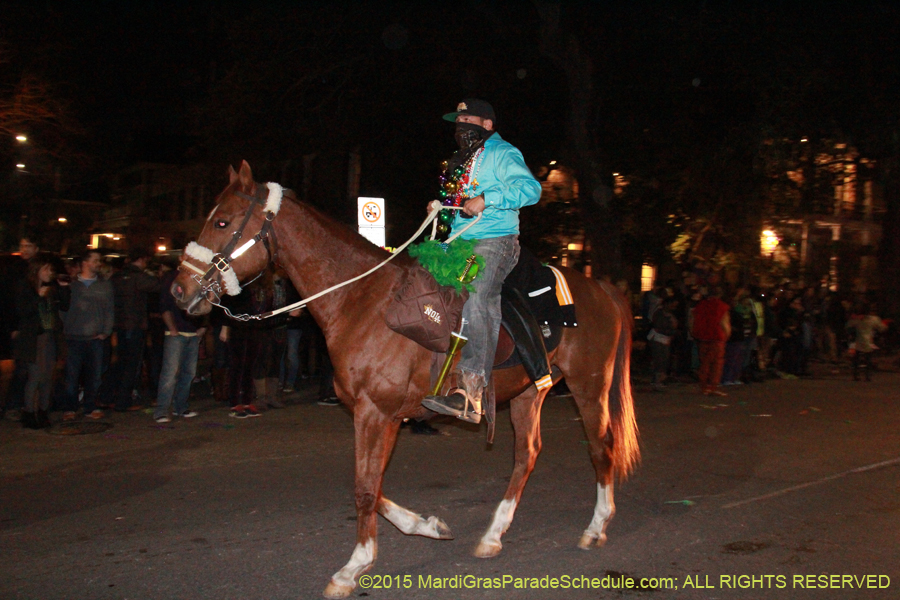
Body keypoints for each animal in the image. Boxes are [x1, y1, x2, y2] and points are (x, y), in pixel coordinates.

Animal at [172, 161, 636, 600]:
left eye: (222, 222)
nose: (178, 291)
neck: (364, 301)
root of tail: (602, 288)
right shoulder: (374, 414)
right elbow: (370, 485)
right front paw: (426, 525)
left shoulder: (378, 413)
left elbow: (364, 488)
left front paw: (353, 566)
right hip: (529, 391)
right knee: (527, 455)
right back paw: (493, 535)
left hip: (589, 385)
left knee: (601, 446)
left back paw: (596, 527)